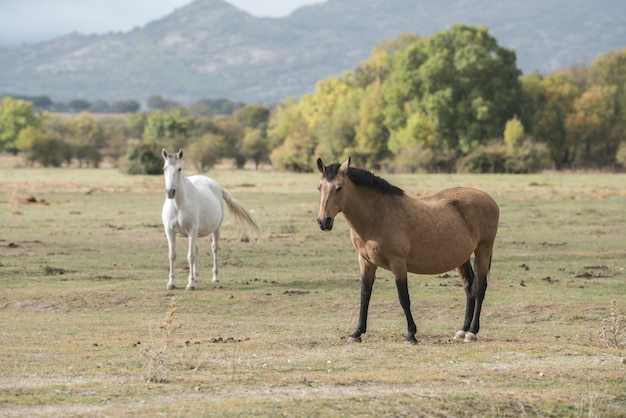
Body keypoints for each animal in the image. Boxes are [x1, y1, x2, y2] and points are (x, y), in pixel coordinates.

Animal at [162, 149, 260, 290]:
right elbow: (172, 255)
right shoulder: (170, 231)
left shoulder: (192, 230)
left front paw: (190, 284)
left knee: (214, 249)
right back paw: (196, 276)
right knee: (196, 249)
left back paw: (215, 277)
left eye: (179, 169)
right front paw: (171, 283)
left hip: (215, 230)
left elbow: (190, 256)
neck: (178, 205)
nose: (170, 192)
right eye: (164, 169)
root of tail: (217, 186)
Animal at [314, 158, 500, 344]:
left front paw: (411, 334)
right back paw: (463, 330)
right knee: (469, 287)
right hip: (462, 258)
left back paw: (472, 332)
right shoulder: (365, 261)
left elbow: (403, 297)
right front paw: (357, 333)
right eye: (319, 187)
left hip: (483, 250)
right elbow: (364, 295)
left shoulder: (398, 262)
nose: (324, 221)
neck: (378, 215)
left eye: (339, 187)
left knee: (480, 287)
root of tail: (488, 199)